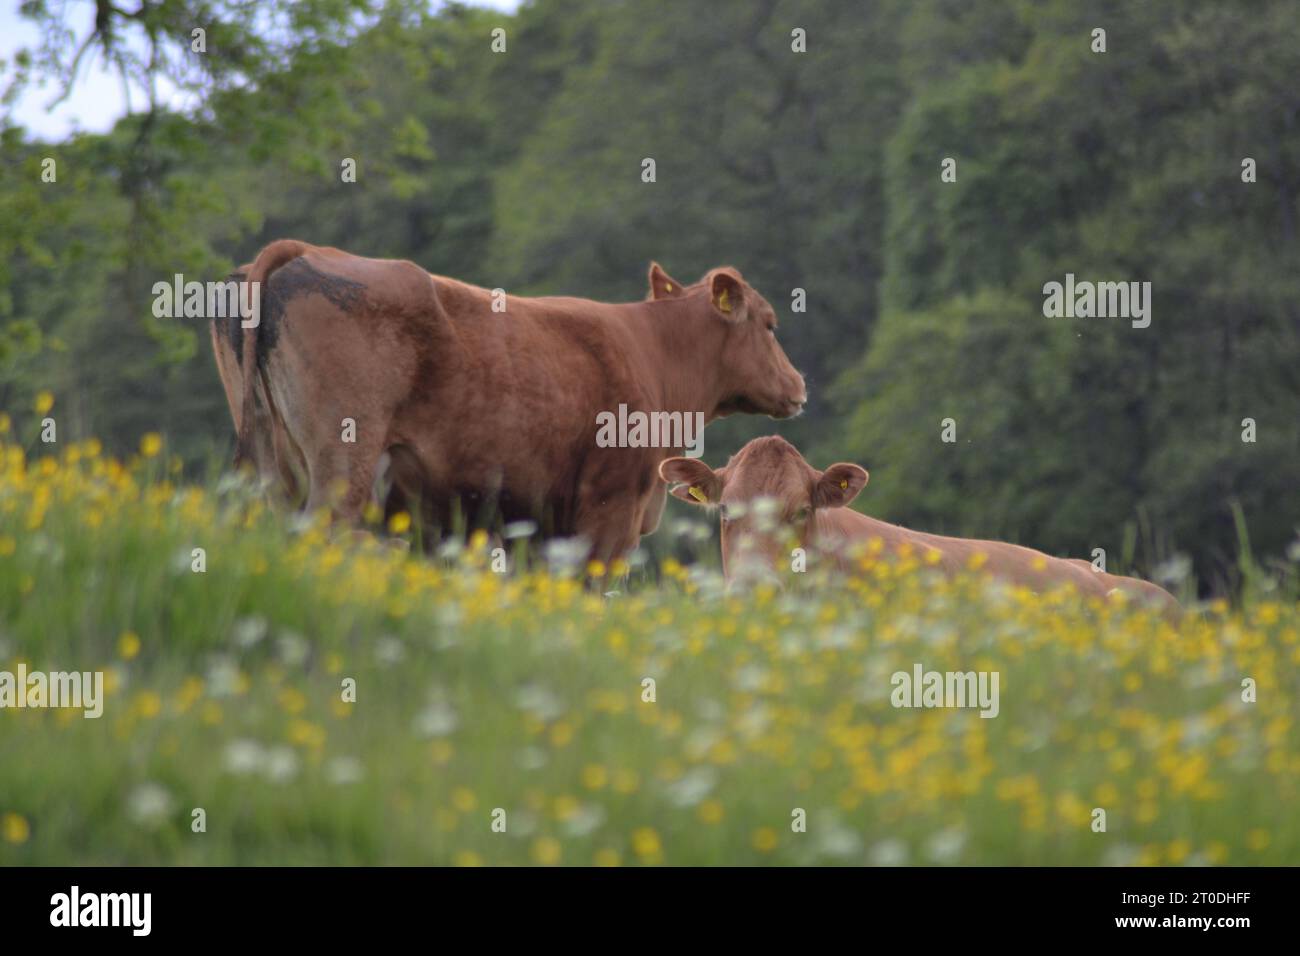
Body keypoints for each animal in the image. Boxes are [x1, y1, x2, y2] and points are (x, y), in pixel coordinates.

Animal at [209, 240, 807, 562]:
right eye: (771, 323)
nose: (799, 385)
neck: (654, 354)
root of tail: (307, 251)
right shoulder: (610, 507)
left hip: (276, 467)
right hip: (340, 462)